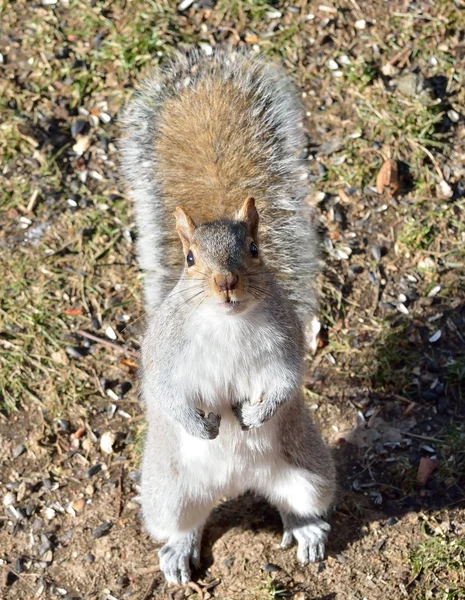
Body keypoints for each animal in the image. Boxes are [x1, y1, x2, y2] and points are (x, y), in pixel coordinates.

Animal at [120, 49, 334, 584]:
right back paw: (178, 551)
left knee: (298, 501)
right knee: (185, 523)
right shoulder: (163, 355)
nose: (226, 282)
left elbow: (285, 381)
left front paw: (255, 414)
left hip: (308, 470)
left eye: (254, 250)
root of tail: (236, 483)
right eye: (190, 259)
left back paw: (307, 531)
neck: (227, 323)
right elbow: (164, 391)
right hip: (167, 494)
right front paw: (201, 426)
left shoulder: (285, 345)